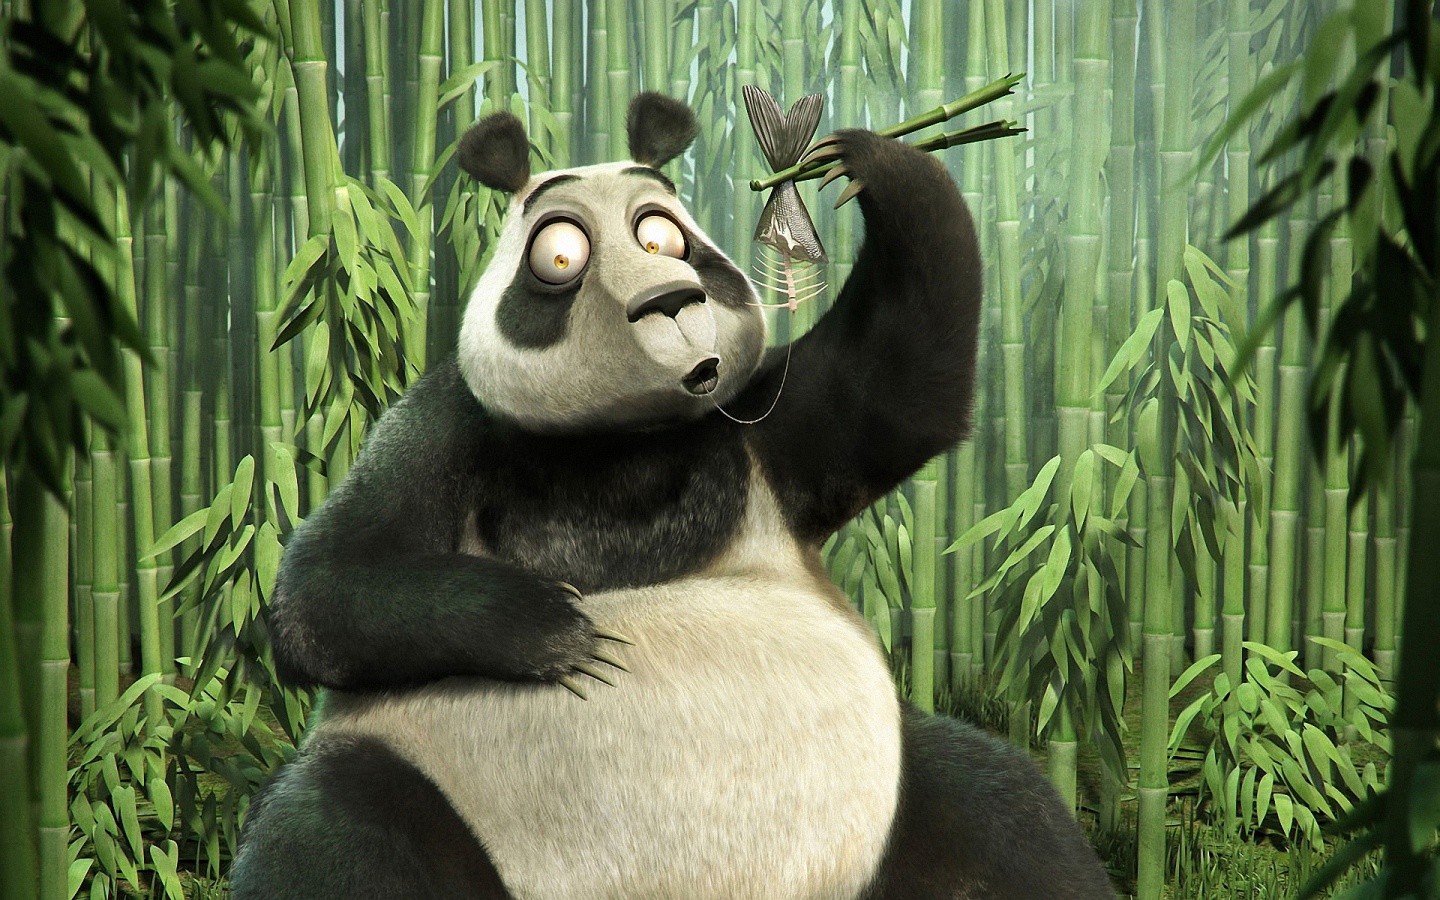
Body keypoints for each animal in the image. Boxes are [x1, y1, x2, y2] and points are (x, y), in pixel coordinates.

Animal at [229, 93, 1117, 900]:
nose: (669, 299)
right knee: (331, 835)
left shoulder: (758, 429)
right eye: (560, 254)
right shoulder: (449, 425)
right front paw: (557, 629)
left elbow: (904, 387)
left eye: (663, 235)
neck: (624, 444)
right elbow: (326, 586)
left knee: (1001, 812)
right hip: (423, 790)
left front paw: (869, 158)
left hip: (895, 801)